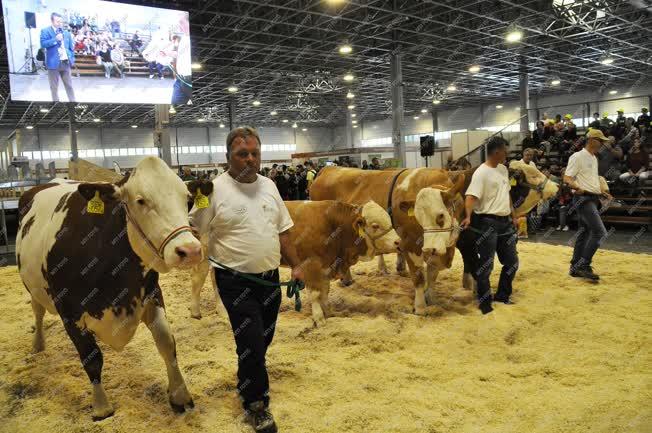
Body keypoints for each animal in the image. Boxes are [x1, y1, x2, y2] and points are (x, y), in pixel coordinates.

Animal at [15, 157, 206, 420]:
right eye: (140, 200)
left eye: (187, 199)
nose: (190, 250)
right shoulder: (70, 313)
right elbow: (92, 357)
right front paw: (101, 407)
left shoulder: (152, 294)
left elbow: (167, 343)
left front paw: (180, 396)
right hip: (32, 286)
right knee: (38, 311)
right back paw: (38, 344)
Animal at [188, 199, 400, 324]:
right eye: (375, 225)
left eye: (389, 220)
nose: (398, 242)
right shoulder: (311, 265)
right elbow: (315, 293)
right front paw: (318, 318)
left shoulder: (326, 266)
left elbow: (325, 291)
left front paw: (328, 312)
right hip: (205, 257)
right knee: (197, 281)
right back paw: (196, 312)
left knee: (215, 283)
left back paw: (223, 313)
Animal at [310, 166, 464, 314]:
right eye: (417, 216)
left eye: (441, 215)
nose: (429, 249)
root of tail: (328, 168)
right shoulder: (410, 244)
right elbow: (419, 277)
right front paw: (420, 307)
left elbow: (433, 273)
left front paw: (431, 298)